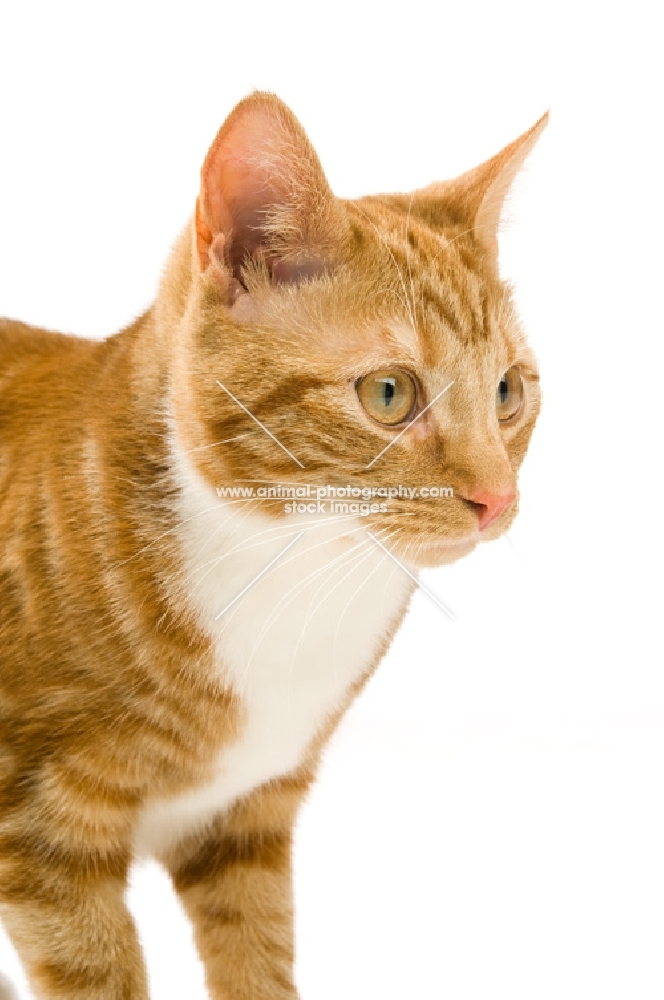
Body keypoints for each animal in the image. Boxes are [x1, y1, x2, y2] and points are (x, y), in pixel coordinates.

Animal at [0, 92, 548, 992]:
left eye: (507, 392)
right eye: (389, 394)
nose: (497, 499)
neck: (286, 564)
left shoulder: (244, 827)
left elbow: (257, 959)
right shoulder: (44, 834)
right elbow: (98, 972)